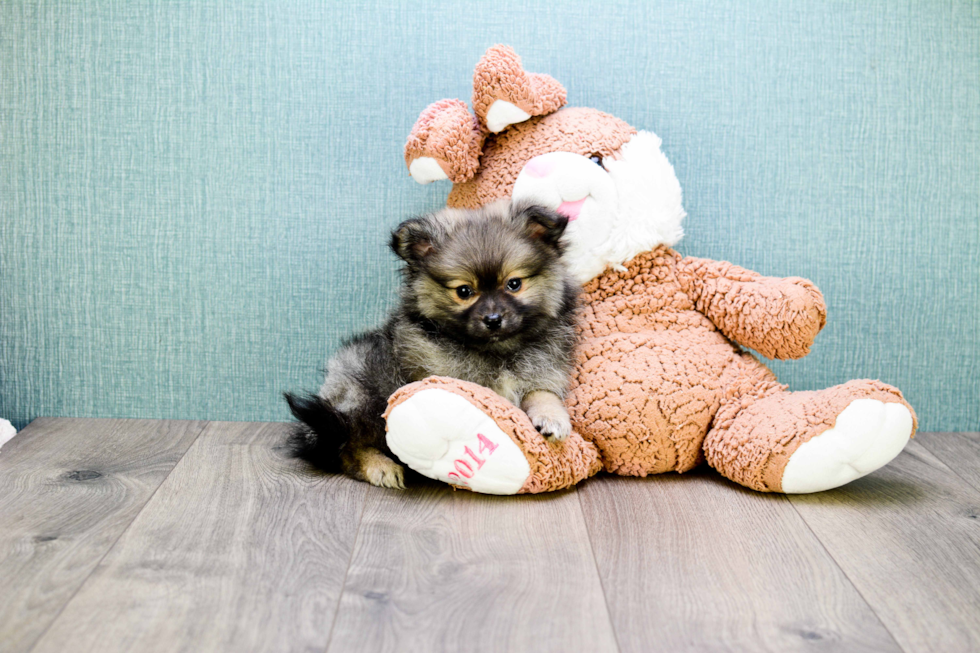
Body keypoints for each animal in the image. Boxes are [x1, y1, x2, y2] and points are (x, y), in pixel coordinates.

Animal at [288, 201, 580, 486]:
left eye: (514, 284)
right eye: (464, 291)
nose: (493, 319)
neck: (496, 351)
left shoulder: (540, 373)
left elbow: (543, 394)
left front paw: (552, 419)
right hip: (366, 390)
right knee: (345, 447)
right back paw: (380, 467)